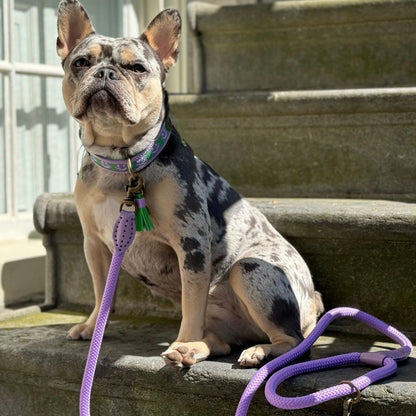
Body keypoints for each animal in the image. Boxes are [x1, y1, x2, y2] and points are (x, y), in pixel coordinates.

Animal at [57, 0, 324, 368]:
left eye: (137, 68)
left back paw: (250, 350)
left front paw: (182, 339)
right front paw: (93, 324)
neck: (124, 161)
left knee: (294, 342)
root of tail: (313, 298)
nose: (105, 73)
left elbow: (192, 302)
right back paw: (198, 347)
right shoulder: (95, 246)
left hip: (250, 269)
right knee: (222, 341)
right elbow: (101, 292)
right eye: (81, 63)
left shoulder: (192, 245)